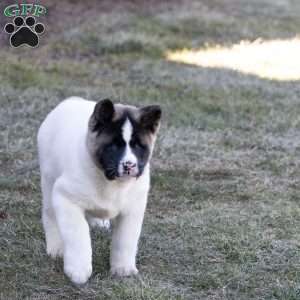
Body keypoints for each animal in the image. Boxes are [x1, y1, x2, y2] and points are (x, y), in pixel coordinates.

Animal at [37, 97, 162, 284]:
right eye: (114, 145)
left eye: (138, 146)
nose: (129, 165)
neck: (112, 183)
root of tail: (71, 100)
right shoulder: (65, 198)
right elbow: (78, 235)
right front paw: (78, 270)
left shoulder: (132, 209)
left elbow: (125, 240)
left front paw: (123, 268)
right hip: (49, 180)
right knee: (49, 214)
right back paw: (56, 247)